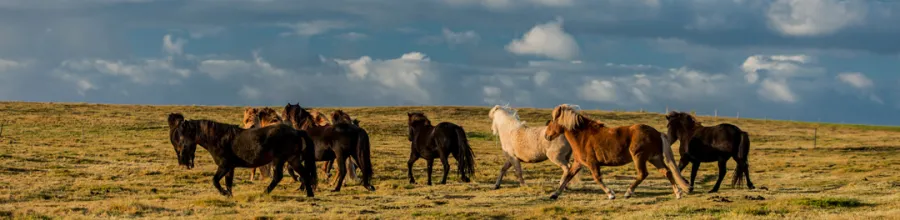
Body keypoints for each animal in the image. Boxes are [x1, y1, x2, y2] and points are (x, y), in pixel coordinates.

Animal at [167, 112, 318, 197]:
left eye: (182, 136)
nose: (182, 159)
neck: (219, 138)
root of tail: (296, 131)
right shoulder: (230, 168)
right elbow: (228, 182)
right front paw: (229, 195)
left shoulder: (224, 166)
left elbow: (215, 181)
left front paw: (224, 193)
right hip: (293, 159)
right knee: (304, 174)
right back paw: (309, 195)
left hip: (279, 160)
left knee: (278, 177)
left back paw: (264, 193)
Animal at [540, 104, 696, 200]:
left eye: (553, 120)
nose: (546, 136)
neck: (583, 136)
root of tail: (657, 133)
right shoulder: (578, 163)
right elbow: (567, 177)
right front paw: (554, 195)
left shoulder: (592, 163)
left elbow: (597, 178)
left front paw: (611, 194)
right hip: (655, 158)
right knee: (667, 172)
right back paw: (678, 193)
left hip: (639, 157)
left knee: (643, 174)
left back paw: (628, 193)